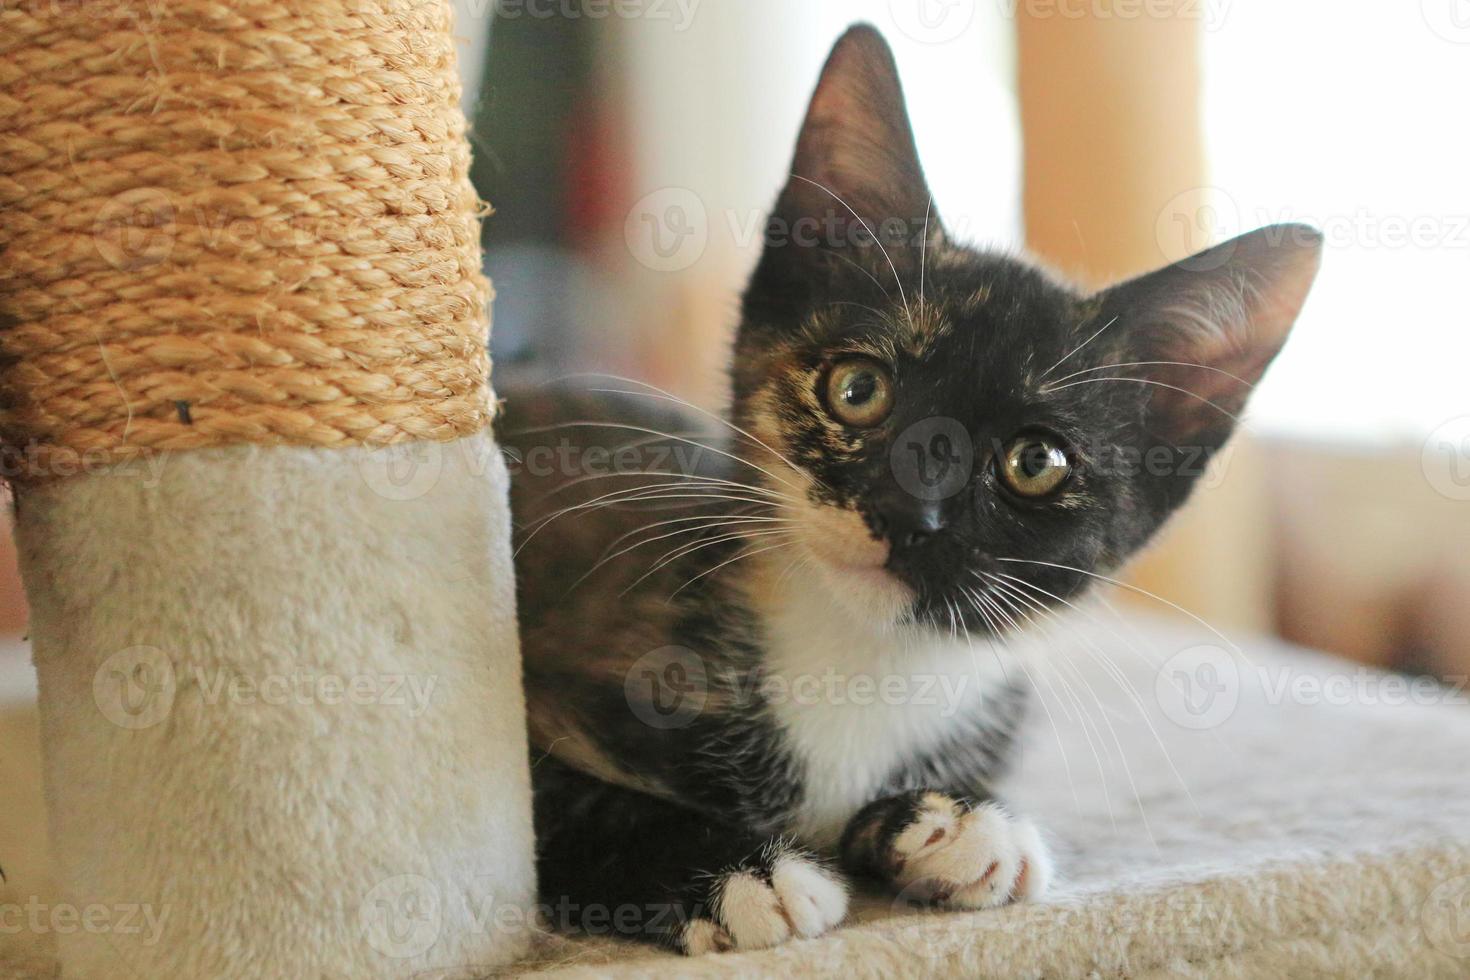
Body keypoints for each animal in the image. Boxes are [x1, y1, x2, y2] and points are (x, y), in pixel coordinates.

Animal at [502, 24, 1323, 957]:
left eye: (1036, 462)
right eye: (858, 390)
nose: (910, 512)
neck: (864, 658)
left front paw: (951, 825)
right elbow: (558, 804)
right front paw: (742, 876)